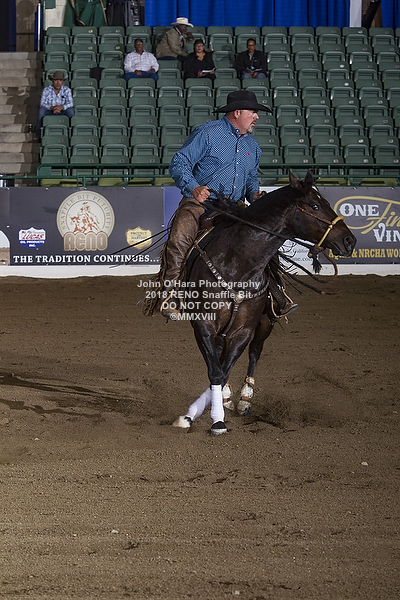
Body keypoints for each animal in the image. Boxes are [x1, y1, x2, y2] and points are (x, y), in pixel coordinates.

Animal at [147, 170, 356, 435]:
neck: (238, 263)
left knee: (255, 352)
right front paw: (202, 416)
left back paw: (245, 398)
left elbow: (225, 369)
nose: (349, 240)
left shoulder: (243, 331)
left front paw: (213, 414)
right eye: (315, 205)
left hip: (266, 320)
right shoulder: (204, 326)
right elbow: (216, 371)